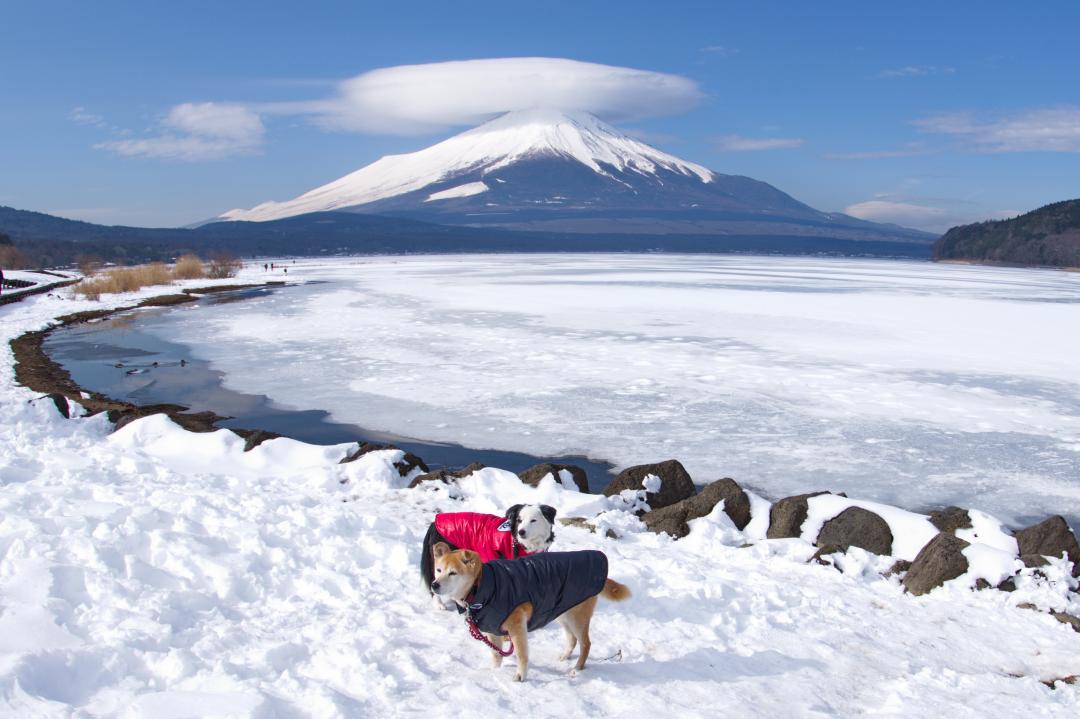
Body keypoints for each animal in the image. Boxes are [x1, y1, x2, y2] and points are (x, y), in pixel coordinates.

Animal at [432, 539, 630, 682]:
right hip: (562, 611)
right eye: (439, 570)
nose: (434, 585)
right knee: (572, 639)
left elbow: (521, 654)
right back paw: (565, 656)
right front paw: (494, 673)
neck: (480, 587)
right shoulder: (493, 631)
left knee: (586, 644)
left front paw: (520, 676)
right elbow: (496, 655)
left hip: (577, 617)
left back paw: (577, 668)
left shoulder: (517, 627)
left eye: (453, 573)